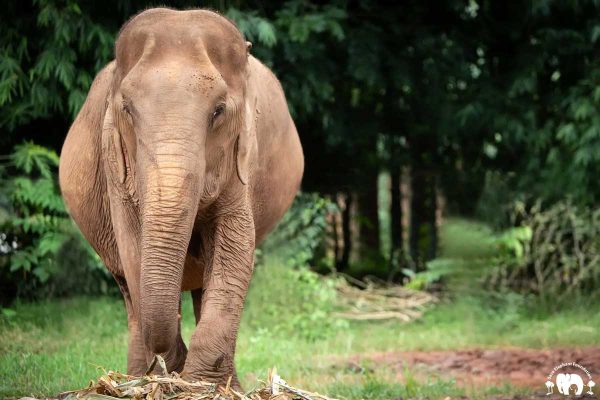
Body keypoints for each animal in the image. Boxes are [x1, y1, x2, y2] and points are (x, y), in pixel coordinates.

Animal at [58, 7, 302, 390]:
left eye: (218, 111)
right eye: (127, 109)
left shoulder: (240, 165)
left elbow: (235, 246)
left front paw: (203, 384)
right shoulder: (115, 166)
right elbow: (133, 246)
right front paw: (170, 378)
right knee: (129, 291)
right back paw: (136, 378)